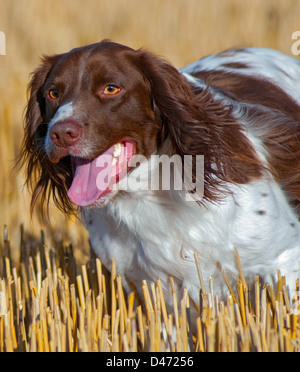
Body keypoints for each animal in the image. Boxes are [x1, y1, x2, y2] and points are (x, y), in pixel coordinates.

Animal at [22, 40, 300, 314]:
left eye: (111, 88)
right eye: (53, 93)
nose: (61, 134)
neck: (150, 194)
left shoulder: (285, 259)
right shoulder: (152, 289)